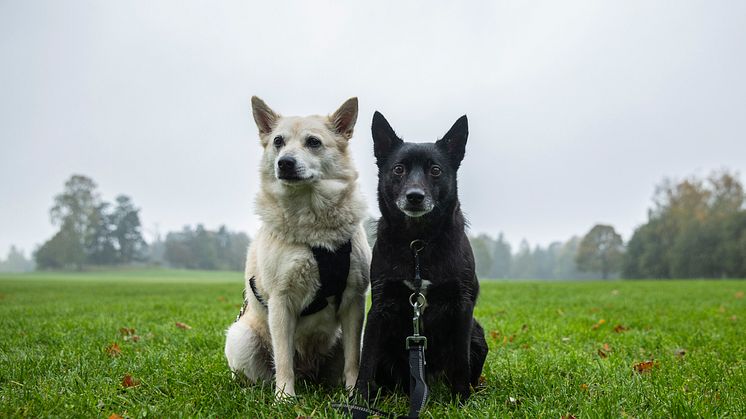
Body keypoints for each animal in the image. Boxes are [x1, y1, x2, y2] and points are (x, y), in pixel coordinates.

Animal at [224, 96, 370, 400]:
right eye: (278, 141)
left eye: (313, 142)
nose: (285, 163)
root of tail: (309, 373)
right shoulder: (281, 302)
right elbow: (282, 359)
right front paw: (284, 398)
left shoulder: (354, 300)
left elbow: (353, 359)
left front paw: (354, 394)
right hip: (242, 338)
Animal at [356, 110, 488, 404]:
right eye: (398, 169)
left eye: (435, 170)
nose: (414, 196)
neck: (418, 244)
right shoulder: (379, 308)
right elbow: (367, 359)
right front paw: (358, 400)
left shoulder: (462, 307)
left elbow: (461, 360)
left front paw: (461, 400)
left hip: (478, 335)